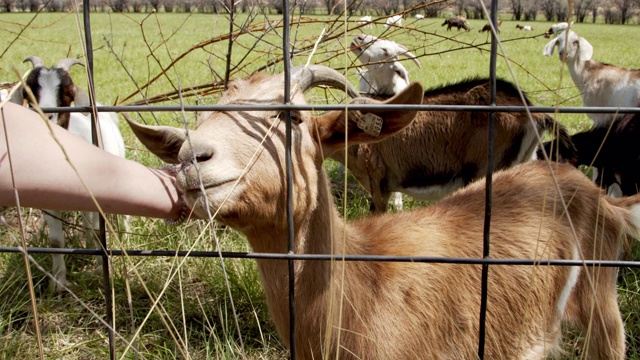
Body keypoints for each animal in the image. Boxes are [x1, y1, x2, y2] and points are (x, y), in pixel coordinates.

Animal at [19, 56, 127, 292]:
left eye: (67, 92)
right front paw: (58, 283)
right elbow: (55, 241)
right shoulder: (49, 203)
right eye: (27, 92)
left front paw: (100, 270)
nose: (45, 115)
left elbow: (98, 231)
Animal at [126, 64, 636, 360]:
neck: (364, 289)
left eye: (292, 116)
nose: (192, 159)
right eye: (202, 117)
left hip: (603, 310)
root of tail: (596, 195)